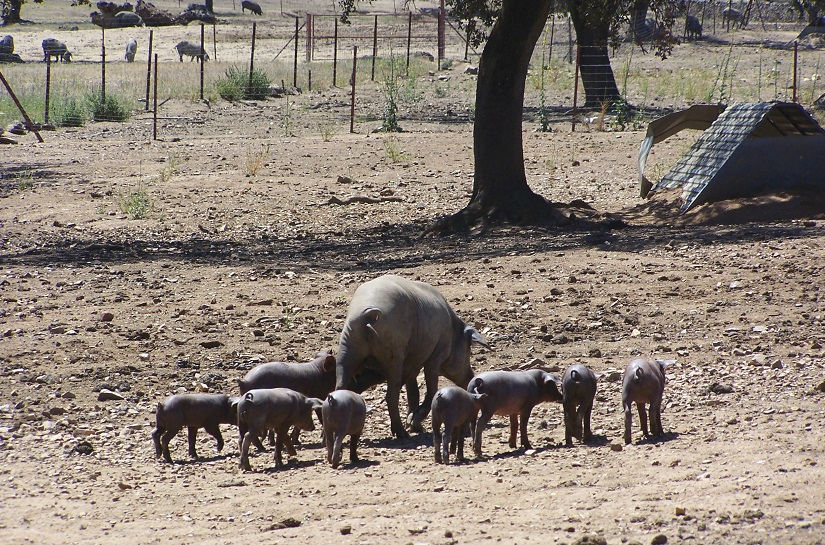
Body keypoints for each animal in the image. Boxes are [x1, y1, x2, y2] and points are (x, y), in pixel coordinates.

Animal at [336, 274, 490, 440]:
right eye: (468, 350)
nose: (472, 376)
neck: (452, 331)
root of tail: (368, 316)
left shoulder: (413, 363)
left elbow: (413, 392)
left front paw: (415, 425)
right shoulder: (435, 357)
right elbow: (430, 390)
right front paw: (413, 422)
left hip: (347, 349)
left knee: (340, 386)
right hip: (394, 357)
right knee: (391, 395)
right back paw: (402, 434)